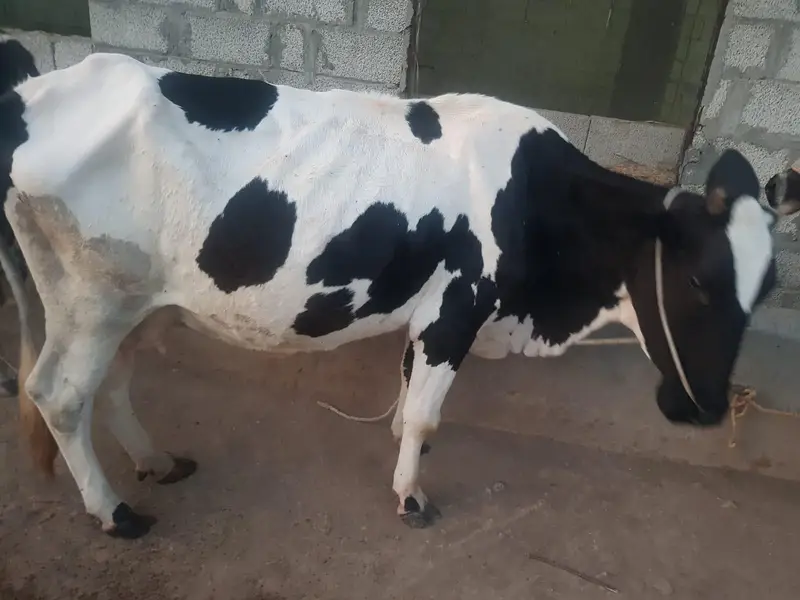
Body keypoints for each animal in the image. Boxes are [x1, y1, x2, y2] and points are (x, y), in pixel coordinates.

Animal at [0, 49, 779, 539]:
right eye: (700, 281)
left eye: (767, 287)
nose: (709, 408)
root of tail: (29, 96)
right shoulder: (458, 309)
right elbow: (428, 416)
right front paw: (411, 497)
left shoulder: (429, 312)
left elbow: (409, 401)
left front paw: (403, 454)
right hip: (92, 302)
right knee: (60, 397)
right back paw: (115, 514)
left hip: (132, 304)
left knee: (112, 386)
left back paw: (158, 462)